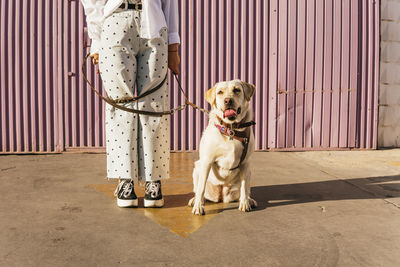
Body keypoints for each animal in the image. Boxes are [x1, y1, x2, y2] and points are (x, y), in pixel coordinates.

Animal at [188, 79, 258, 216]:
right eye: (220, 92)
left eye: (237, 90)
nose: (228, 100)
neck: (231, 129)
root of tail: (221, 195)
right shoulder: (207, 161)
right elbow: (201, 188)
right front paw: (198, 206)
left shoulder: (246, 163)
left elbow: (244, 186)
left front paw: (244, 203)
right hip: (197, 168)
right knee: (198, 190)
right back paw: (195, 200)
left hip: (249, 171)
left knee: (246, 189)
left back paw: (249, 199)